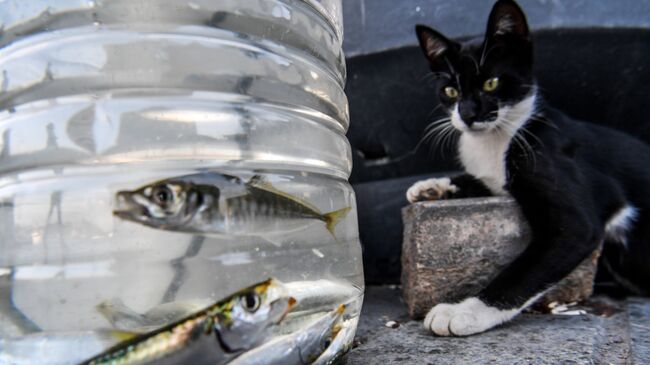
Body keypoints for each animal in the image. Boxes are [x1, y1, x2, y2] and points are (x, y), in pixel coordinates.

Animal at [408, 0, 648, 336]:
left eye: (491, 83)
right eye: (451, 91)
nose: (467, 114)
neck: (499, 139)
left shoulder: (575, 213)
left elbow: (524, 271)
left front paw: (463, 312)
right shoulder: (493, 178)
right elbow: (477, 179)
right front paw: (430, 187)